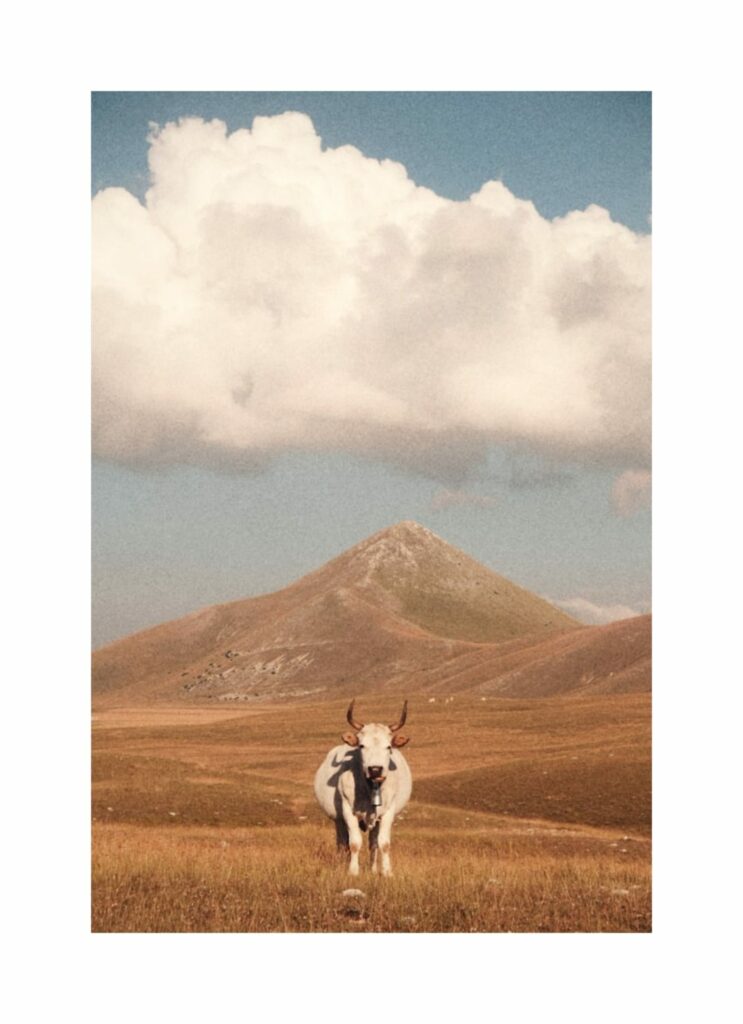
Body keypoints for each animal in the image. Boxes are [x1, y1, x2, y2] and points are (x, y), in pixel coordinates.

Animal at [311, 700, 413, 876]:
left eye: (388, 747)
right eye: (362, 746)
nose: (375, 769)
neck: (370, 788)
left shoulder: (388, 812)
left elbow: (383, 843)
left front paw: (386, 872)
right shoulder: (347, 810)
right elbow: (354, 843)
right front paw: (352, 871)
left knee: (373, 843)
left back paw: (373, 869)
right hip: (338, 820)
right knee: (342, 843)